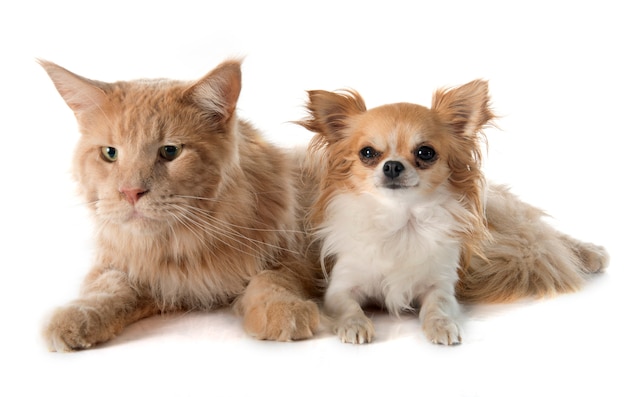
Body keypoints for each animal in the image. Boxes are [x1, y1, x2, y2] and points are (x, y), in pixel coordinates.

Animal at [40, 58, 320, 350]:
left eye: (170, 151)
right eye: (110, 153)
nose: (131, 192)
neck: (183, 246)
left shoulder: (294, 253)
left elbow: (271, 279)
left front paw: (281, 308)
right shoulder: (129, 268)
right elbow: (107, 287)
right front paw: (78, 314)